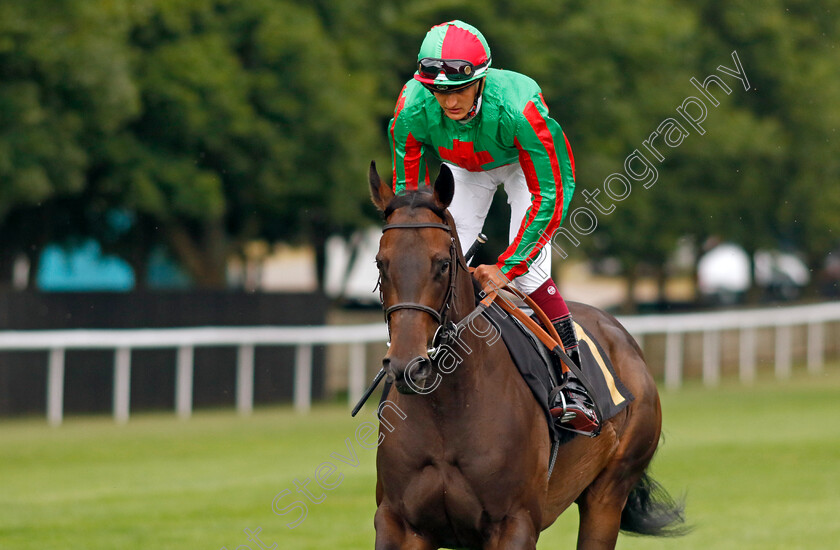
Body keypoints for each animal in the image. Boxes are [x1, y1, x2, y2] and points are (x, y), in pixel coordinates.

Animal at [370, 162, 684, 548]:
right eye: (381, 263)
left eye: (442, 263)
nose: (409, 366)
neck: (448, 408)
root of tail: (620, 333)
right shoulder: (398, 522)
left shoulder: (514, 523)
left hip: (609, 493)